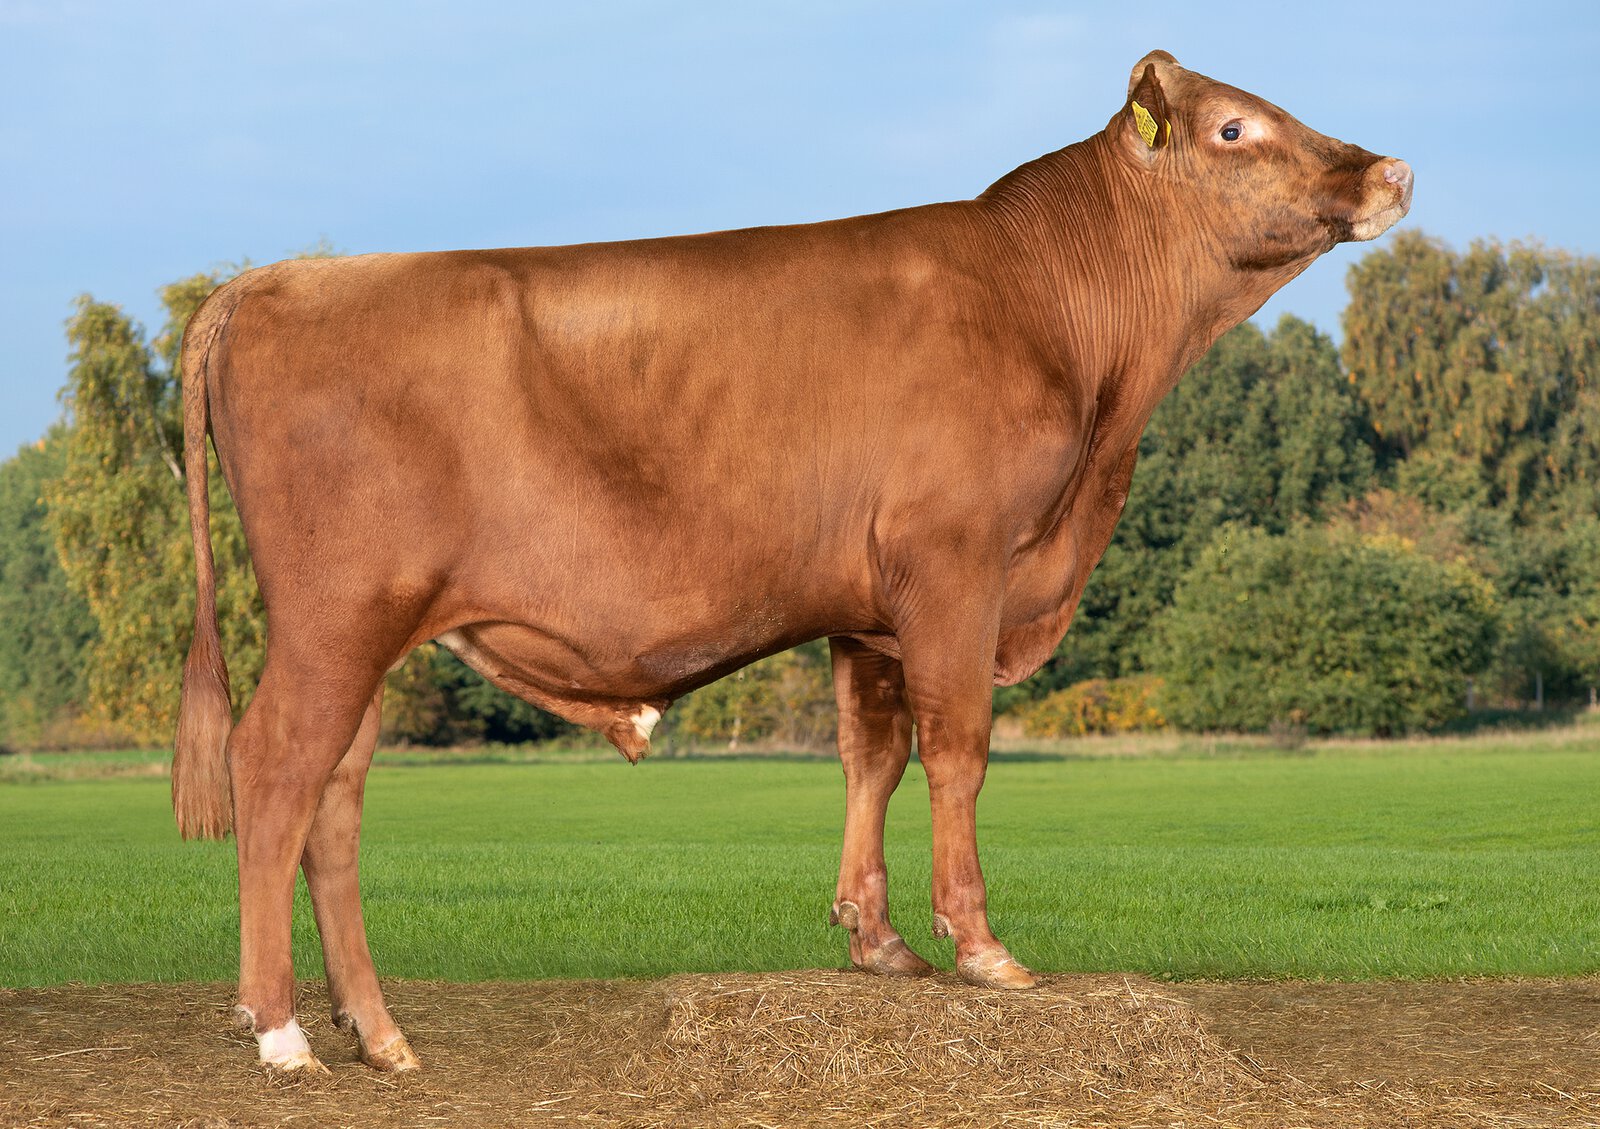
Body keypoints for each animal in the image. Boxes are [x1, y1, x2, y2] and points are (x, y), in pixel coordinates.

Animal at [172, 50, 1411, 1073]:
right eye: (1235, 128)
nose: (1392, 170)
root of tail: (265, 282)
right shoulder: (955, 566)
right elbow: (957, 751)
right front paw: (982, 948)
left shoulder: (866, 610)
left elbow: (873, 756)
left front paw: (879, 942)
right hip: (336, 616)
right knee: (275, 768)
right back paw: (281, 1032)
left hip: (369, 631)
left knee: (335, 794)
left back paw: (379, 1035)